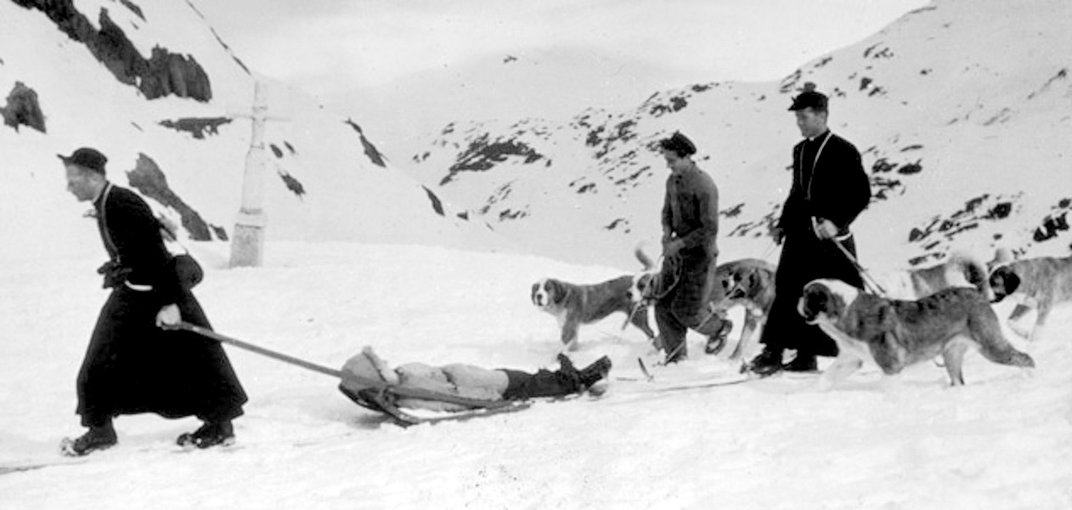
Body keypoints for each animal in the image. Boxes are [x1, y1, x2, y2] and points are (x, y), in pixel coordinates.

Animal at [801, 276, 1033, 387]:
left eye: (805, 296)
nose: (797, 301)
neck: (847, 312)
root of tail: (976, 292)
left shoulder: (891, 366)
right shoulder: (850, 358)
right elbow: (826, 378)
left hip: (989, 344)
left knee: (1025, 358)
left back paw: (1030, 377)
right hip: (952, 352)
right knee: (958, 380)